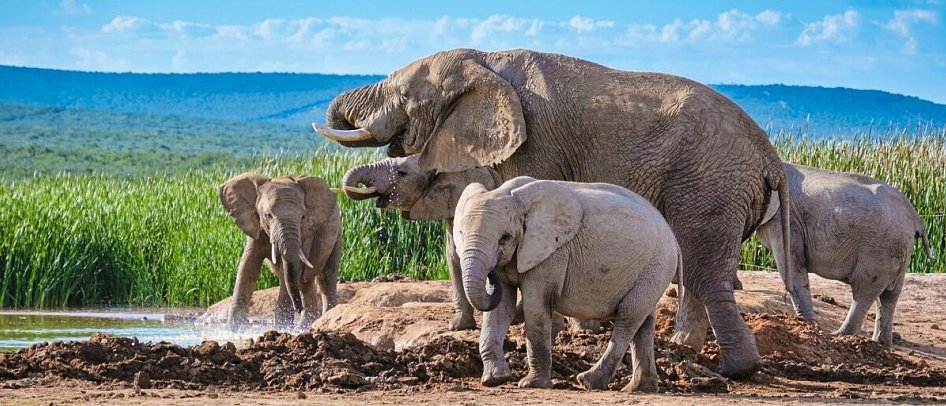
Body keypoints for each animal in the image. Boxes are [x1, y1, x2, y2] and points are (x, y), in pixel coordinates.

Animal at [219, 173, 341, 331]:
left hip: (336, 231)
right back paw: (303, 327)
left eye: (303, 217)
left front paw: (281, 328)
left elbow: (288, 271)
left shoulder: (305, 233)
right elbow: (248, 267)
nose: (298, 309)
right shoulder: (256, 227)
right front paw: (234, 330)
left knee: (324, 277)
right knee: (306, 281)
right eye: (268, 215)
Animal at [453, 177, 681, 390]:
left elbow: (535, 306)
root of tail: (674, 239)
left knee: (628, 316)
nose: (491, 277)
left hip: (656, 265)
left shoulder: (552, 253)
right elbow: (501, 308)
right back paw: (638, 388)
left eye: (504, 238)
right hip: (652, 271)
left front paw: (532, 384)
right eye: (461, 234)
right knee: (644, 323)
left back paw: (588, 382)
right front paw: (494, 380)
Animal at [756, 163, 935, 347]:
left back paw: (839, 336)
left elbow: (791, 265)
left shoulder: (786, 219)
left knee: (864, 290)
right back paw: (880, 344)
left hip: (880, 249)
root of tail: (916, 217)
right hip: (898, 250)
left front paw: (806, 325)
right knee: (889, 296)